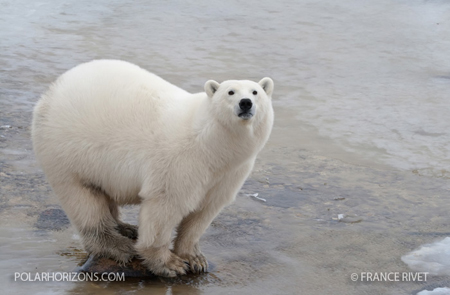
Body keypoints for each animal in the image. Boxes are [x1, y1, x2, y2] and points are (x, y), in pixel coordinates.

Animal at [32, 59, 274, 278]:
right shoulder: (180, 162)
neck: (213, 146)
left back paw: (125, 227)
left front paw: (196, 258)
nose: (245, 103)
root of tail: (48, 94)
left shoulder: (228, 173)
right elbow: (165, 207)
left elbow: (203, 212)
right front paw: (170, 264)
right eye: (230, 92)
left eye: (255, 92)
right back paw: (118, 245)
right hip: (68, 151)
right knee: (84, 200)